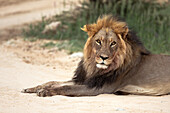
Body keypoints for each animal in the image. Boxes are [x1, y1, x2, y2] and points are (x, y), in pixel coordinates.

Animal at [21, 14, 170, 96]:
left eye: (113, 43)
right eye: (98, 41)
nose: (103, 58)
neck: (94, 67)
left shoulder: (99, 88)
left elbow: (66, 87)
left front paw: (45, 92)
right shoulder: (86, 79)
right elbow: (52, 82)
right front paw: (33, 88)